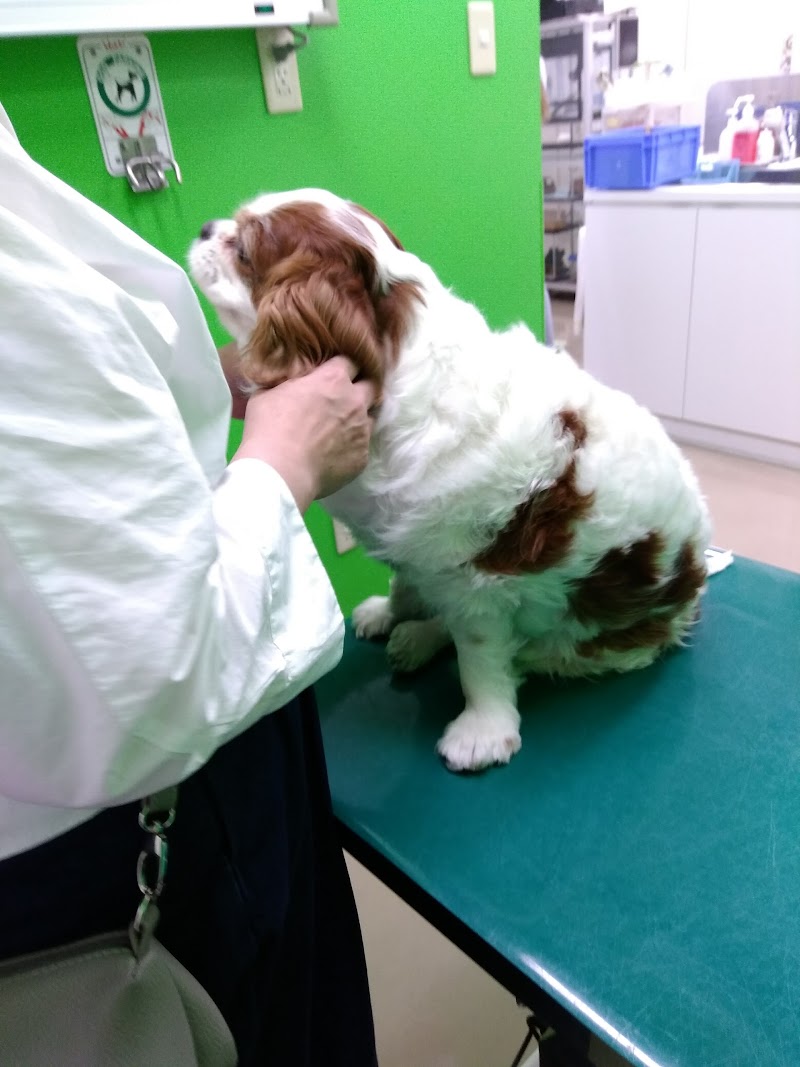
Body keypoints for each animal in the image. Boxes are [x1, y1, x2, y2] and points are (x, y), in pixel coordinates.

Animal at [189, 192, 712, 772]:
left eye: (243, 248)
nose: (204, 227)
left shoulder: (476, 583)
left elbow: (480, 660)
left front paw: (483, 729)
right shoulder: (420, 547)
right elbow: (405, 583)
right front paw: (394, 612)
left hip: (590, 638)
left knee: (532, 652)